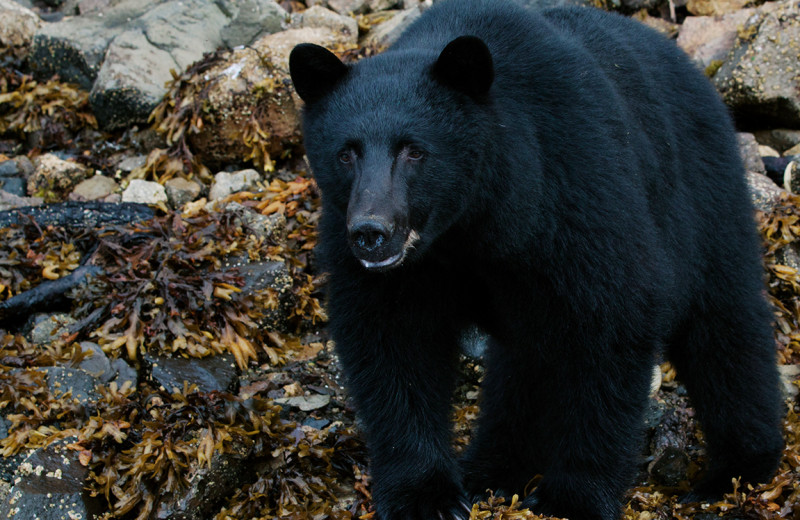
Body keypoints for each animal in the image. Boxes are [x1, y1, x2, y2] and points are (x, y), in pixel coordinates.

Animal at [288, 1, 780, 520]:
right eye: (346, 153)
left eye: (415, 150)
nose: (371, 233)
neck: (467, 229)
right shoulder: (391, 266)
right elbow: (392, 344)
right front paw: (424, 495)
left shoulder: (573, 187)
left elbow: (612, 322)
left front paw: (574, 497)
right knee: (523, 363)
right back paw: (492, 468)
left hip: (703, 194)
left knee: (724, 326)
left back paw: (737, 469)